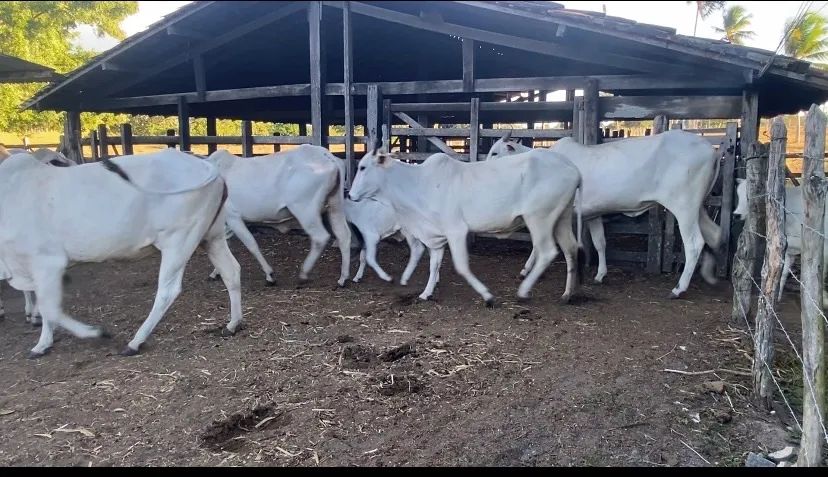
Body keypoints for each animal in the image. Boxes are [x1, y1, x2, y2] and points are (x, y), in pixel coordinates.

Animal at [0, 148, 243, 357]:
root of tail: (205, 164)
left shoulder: (47, 261)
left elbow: (50, 308)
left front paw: (94, 333)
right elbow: (45, 305)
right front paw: (42, 342)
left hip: (179, 240)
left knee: (168, 290)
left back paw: (135, 341)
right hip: (211, 237)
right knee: (231, 271)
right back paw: (233, 324)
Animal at [205, 145, 351, 287]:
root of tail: (325, 155)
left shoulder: (233, 217)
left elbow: (251, 244)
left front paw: (269, 275)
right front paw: (215, 272)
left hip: (305, 209)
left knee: (320, 237)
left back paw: (304, 274)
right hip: (335, 204)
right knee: (343, 234)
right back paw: (343, 278)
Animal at [348, 148, 582, 306]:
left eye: (362, 167)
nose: (350, 194)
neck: (417, 184)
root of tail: (573, 169)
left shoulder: (456, 231)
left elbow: (461, 266)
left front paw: (487, 295)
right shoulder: (437, 235)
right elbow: (434, 265)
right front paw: (426, 293)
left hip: (539, 218)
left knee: (547, 251)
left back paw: (524, 291)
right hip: (561, 217)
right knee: (570, 249)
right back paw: (567, 294)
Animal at [486, 130, 722, 299]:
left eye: (495, 152)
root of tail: (711, 150)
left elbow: (540, 245)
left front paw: (527, 270)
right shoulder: (593, 215)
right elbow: (599, 242)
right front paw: (600, 274)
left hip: (684, 206)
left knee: (695, 243)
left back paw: (679, 288)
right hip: (698, 207)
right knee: (715, 234)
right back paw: (710, 274)